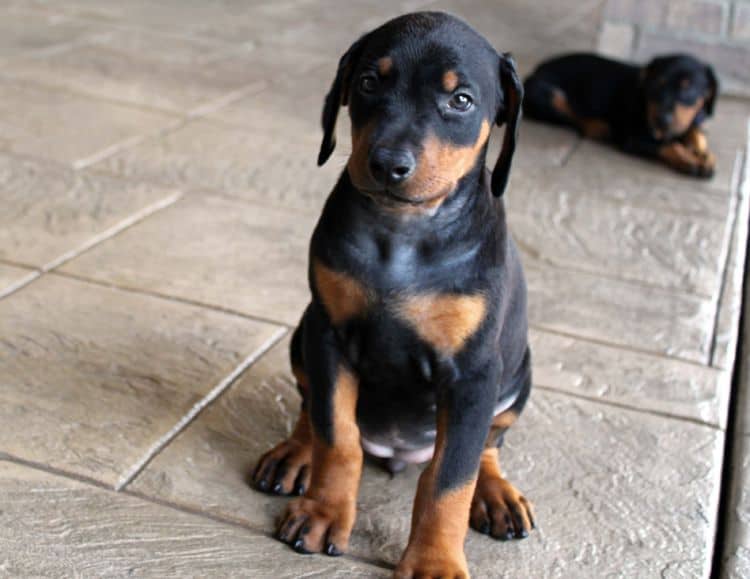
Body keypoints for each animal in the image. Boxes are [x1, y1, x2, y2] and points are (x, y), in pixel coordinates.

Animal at [253, 10, 536, 579]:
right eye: (368, 82)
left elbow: (450, 478)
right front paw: (323, 512)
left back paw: (496, 493)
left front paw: (433, 562)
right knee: (311, 408)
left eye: (461, 100)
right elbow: (337, 436)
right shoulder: (329, 336)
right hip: (301, 334)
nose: (388, 163)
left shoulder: (473, 374)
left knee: (487, 444)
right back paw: (295, 453)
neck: (403, 232)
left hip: (517, 375)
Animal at [524, 52, 724, 179]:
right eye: (655, 86)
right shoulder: (632, 137)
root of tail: (538, 67)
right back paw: (598, 126)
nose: (661, 120)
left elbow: (695, 132)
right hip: (546, 95)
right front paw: (689, 159)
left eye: (689, 88)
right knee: (570, 115)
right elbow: (668, 144)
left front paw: (704, 154)